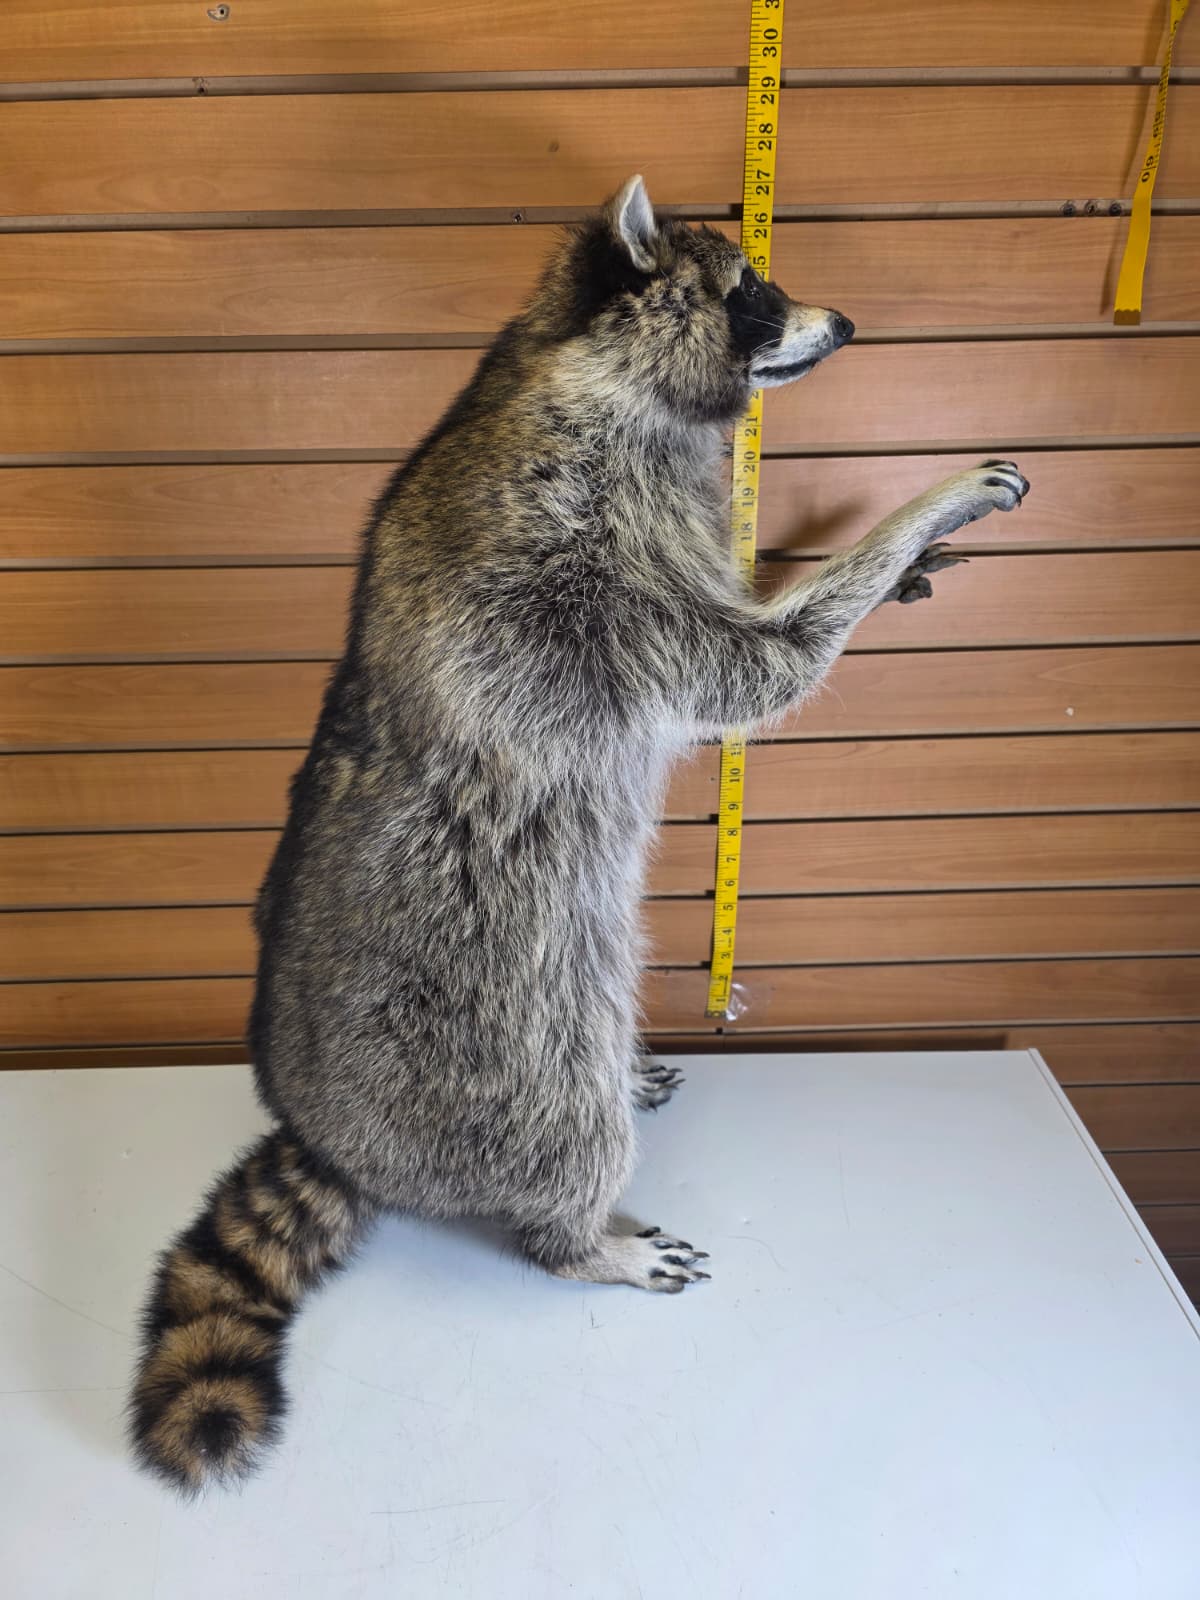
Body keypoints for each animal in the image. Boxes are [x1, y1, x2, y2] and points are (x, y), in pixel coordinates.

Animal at [129, 176, 1029, 1492]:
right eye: (753, 294)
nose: (849, 322)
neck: (575, 361)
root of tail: (323, 1128)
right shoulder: (590, 559)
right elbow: (756, 667)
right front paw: (911, 521)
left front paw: (891, 558)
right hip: (496, 1029)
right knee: (561, 1119)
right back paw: (581, 1234)